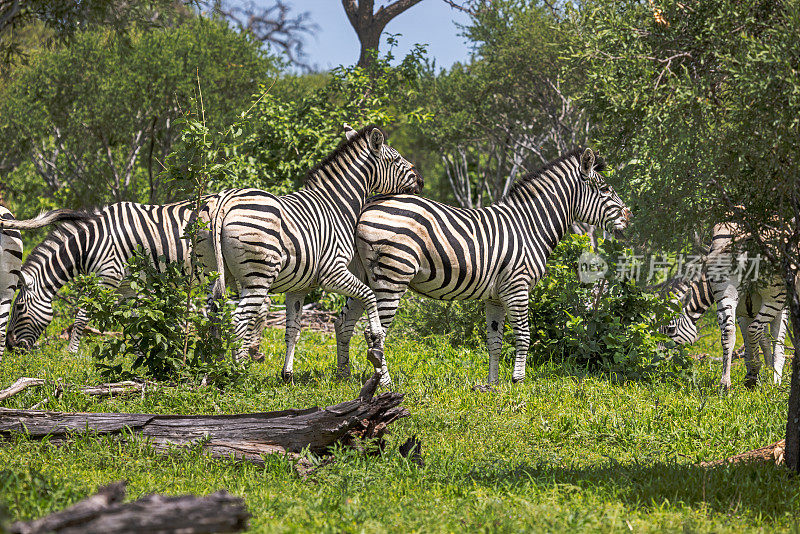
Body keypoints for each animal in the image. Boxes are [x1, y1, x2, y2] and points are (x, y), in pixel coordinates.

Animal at [5, 200, 205, 352]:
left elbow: (82, 316)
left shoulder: (109, 276)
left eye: (19, 307)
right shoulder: (126, 284)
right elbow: (132, 318)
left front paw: (70, 354)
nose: (9, 346)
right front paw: (140, 356)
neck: (89, 245)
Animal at [198, 124, 424, 376]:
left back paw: (213, 369)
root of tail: (226, 200)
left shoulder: (299, 286)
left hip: (218, 275)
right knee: (238, 321)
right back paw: (237, 373)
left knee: (214, 318)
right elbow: (369, 295)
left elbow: (293, 331)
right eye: (395, 159)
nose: (421, 181)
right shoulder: (332, 272)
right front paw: (375, 335)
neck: (337, 206)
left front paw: (287, 374)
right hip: (258, 277)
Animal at [332, 149, 632, 388]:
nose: (629, 217)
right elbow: (524, 336)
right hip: (392, 275)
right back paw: (385, 384)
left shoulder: (496, 296)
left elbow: (494, 341)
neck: (530, 226)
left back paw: (343, 376)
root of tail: (370, 203)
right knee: (374, 333)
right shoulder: (517, 287)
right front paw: (518, 382)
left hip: (366, 276)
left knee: (344, 323)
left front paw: (493, 385)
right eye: (605, 190)